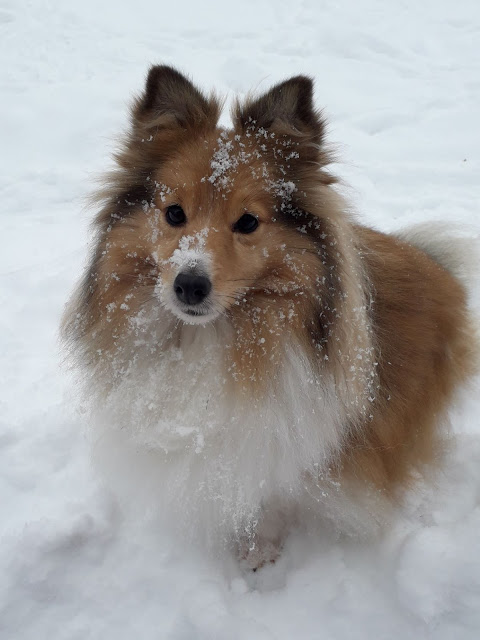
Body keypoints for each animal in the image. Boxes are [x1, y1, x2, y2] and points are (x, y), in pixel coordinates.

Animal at [62, 65, 477, 569]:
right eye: (174, 213)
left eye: (247, 222)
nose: (189, 285)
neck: (209, 337)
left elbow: (277, 492)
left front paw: (259, 551)